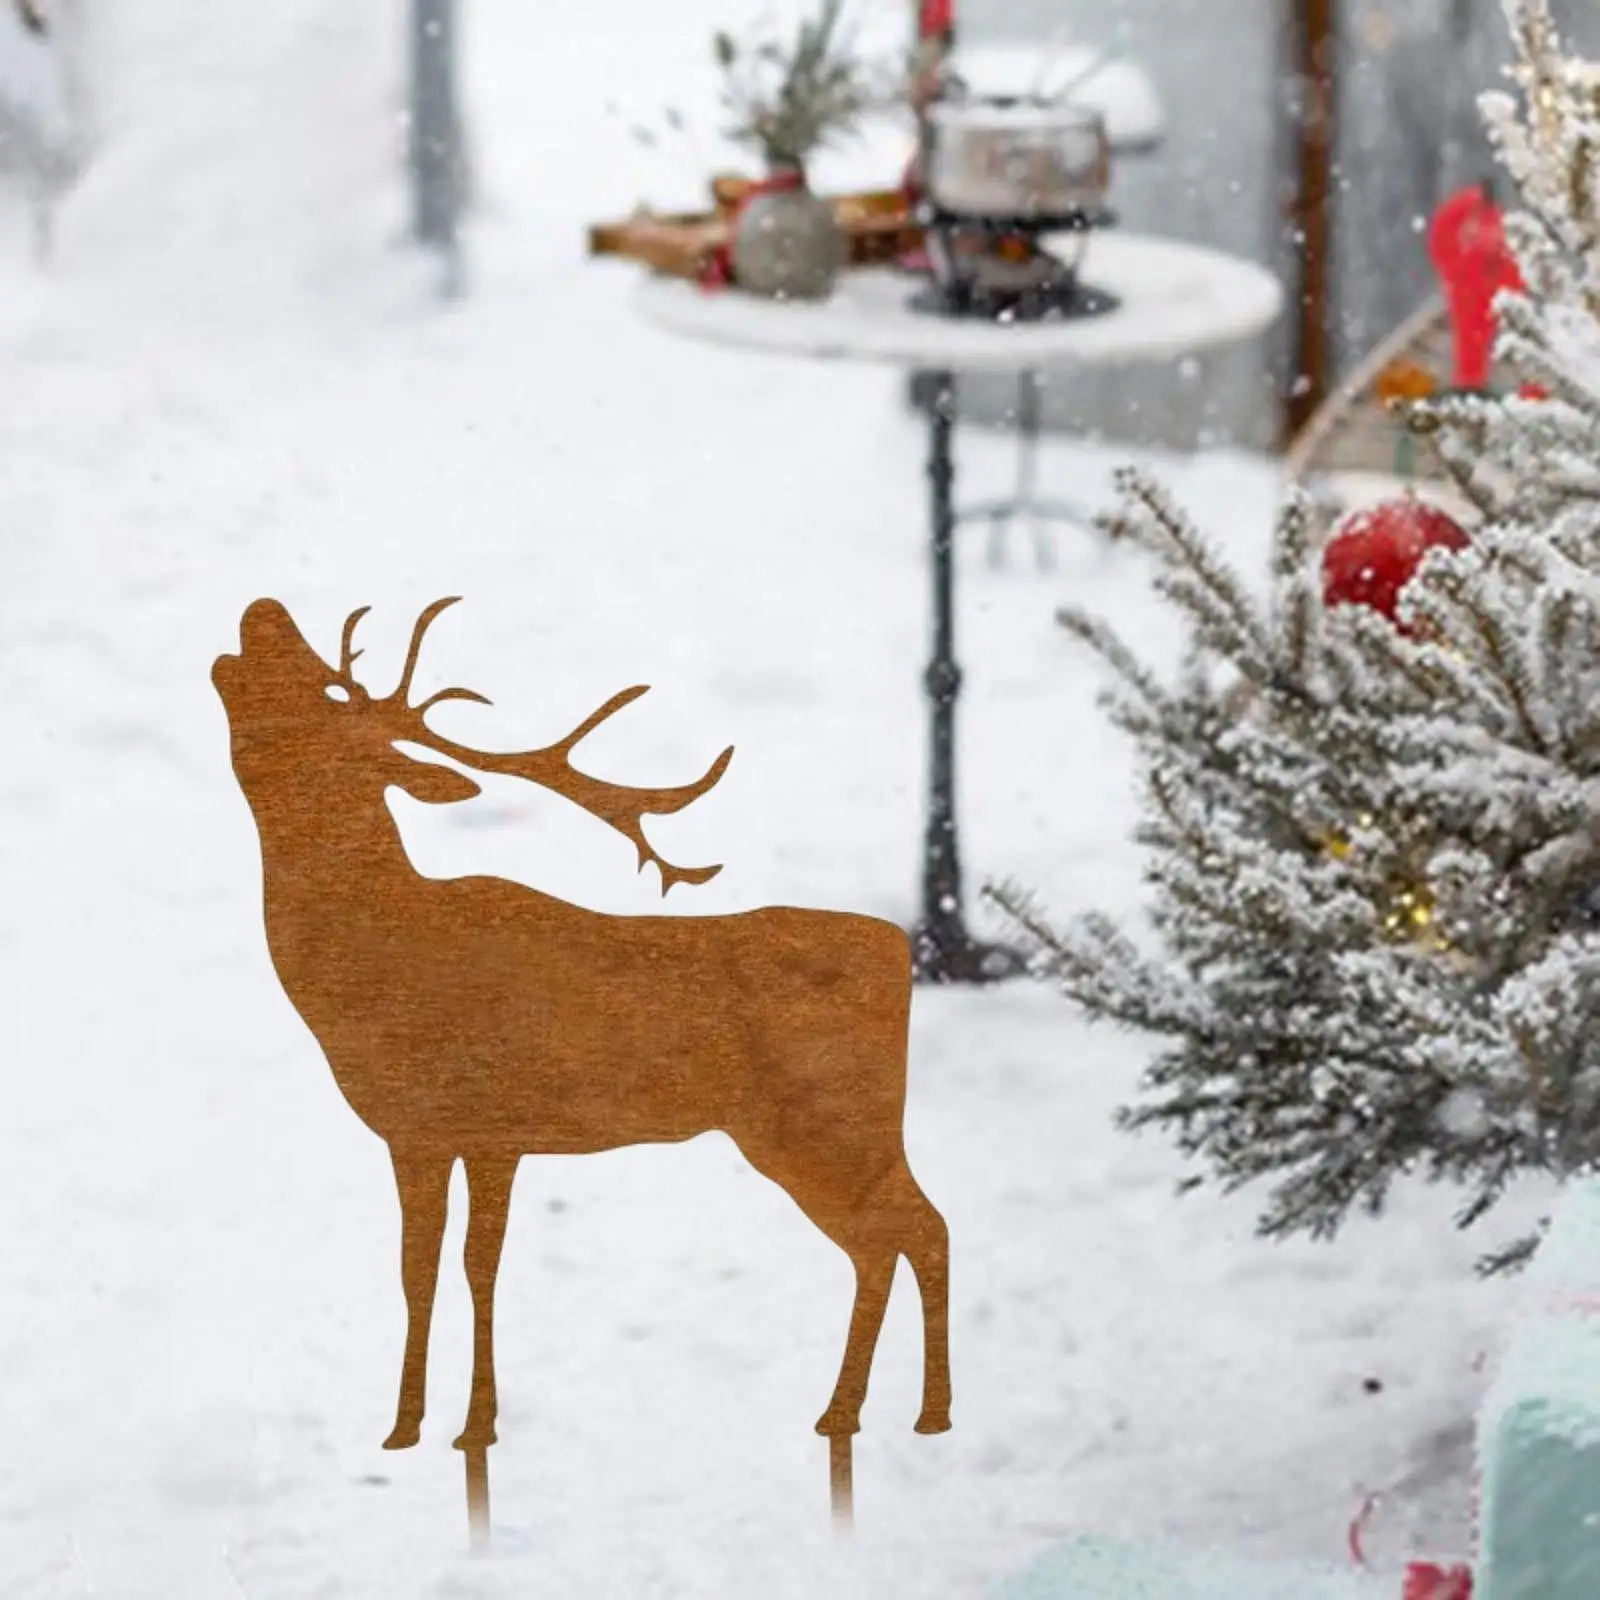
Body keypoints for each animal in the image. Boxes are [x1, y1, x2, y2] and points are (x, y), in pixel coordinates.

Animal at [212, 596, 951, 1480]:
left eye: (322, 693)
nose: (263, 608)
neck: (380, 973)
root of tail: (897, 952)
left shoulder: (493, 1123)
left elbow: (477, 1265)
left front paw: (475, 1428)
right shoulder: (416, 1132)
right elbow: (416, 1269)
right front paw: (404, 1427)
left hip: (824, 1124)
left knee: (910, 1232)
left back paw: (907, 1415)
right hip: (843, 1132)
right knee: (901, 1235)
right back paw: (865, 1414)